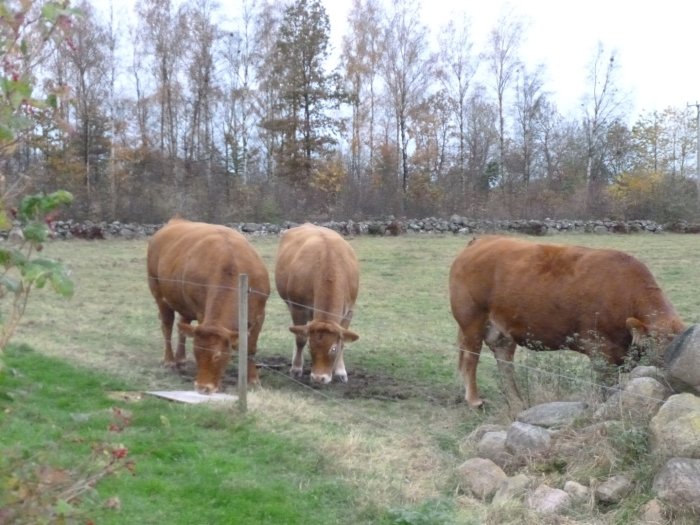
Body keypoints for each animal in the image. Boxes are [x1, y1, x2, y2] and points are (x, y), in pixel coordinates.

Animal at [146, 217, 270, 392]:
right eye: (197, 353)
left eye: (217, 355)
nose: (202, 388)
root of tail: (176, 220)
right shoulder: (201, 312)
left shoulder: (259, 315)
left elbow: (250, 348)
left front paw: (253, 380)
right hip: (159, 295)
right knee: (167, 327)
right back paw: (170, 360)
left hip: (183, 303)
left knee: (182, 325)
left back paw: (181, 358)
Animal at [274, 223, 360, 382]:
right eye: (310, 347)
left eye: (333, 348)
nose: (319, 378)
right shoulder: (298, 307)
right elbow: (300, 338)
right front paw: (296, 368)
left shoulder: (349, 311)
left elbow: (343, 341)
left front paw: (340, 371)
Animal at [448, 234, 684, 410]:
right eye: (663, 349)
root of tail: (482, 240)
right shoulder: (602, 353)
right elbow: (606, 390)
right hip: (471, 319)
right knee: (470, 357)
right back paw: (474, 400)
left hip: (501, 329)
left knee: (503, 360)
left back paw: (517, 401)